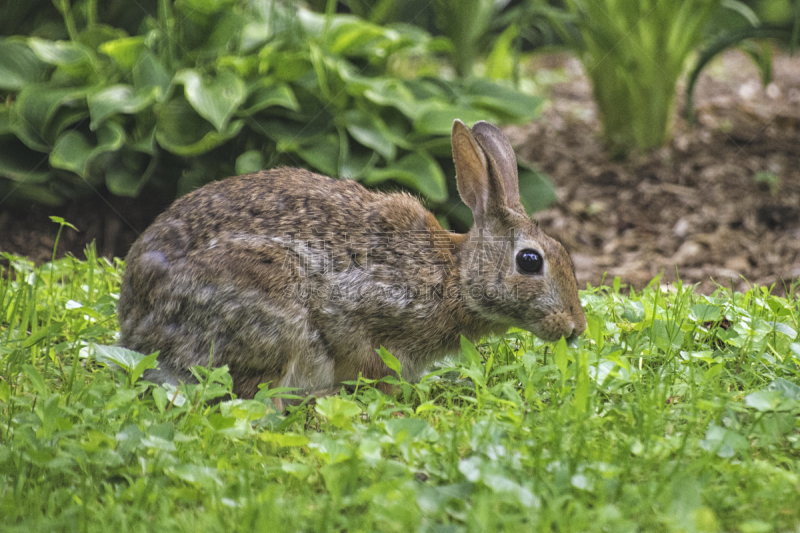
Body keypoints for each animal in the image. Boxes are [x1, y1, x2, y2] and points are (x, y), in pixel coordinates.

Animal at [115, 120, 584, 402]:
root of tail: (137, 329)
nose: (575, 328)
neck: (455, 275)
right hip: (270, 305)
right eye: (529, 261)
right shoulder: (360, 306)